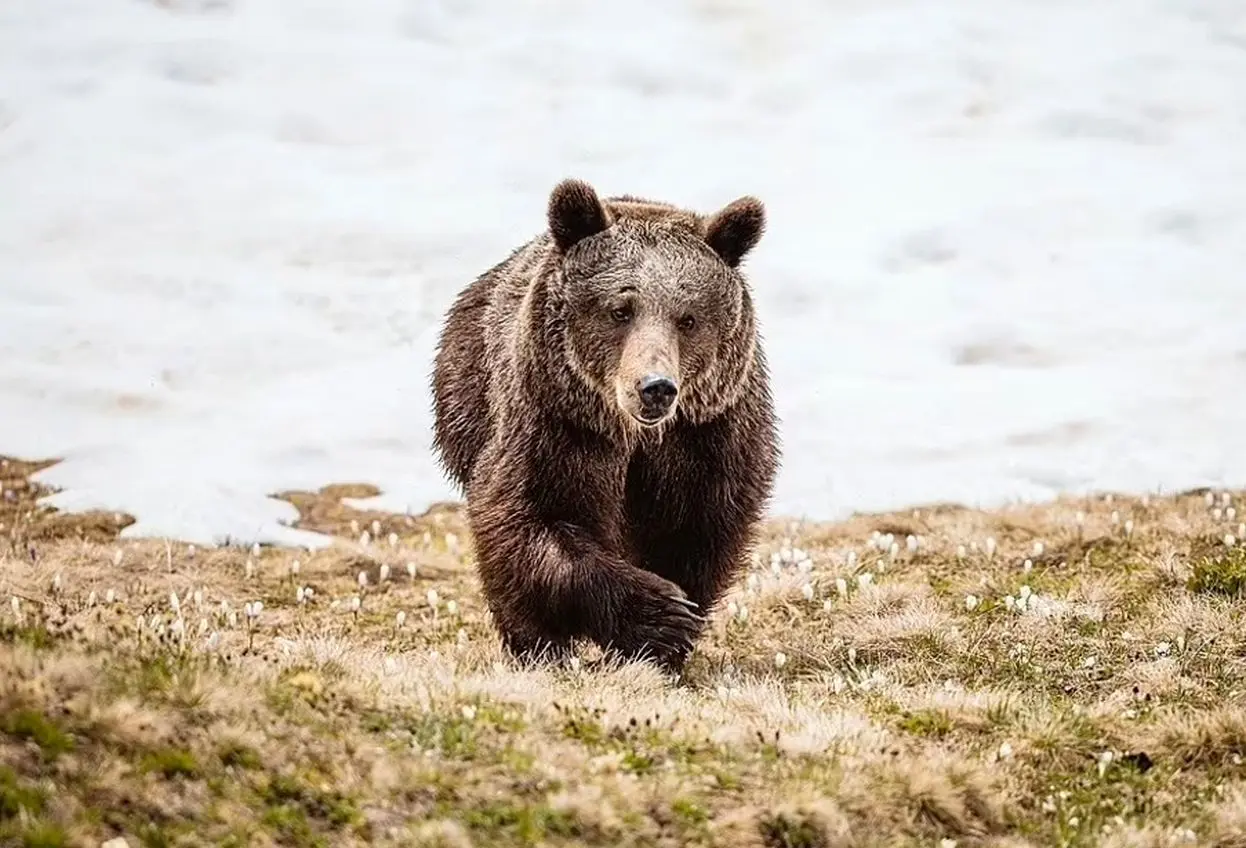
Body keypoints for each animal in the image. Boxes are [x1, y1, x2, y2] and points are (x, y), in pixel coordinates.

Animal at [428, 178, 777, 672]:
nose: (655, 387)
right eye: (620, 309)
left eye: (688, 317)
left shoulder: (707, 440)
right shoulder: (557, 426)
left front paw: (667, 641)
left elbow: (694, 533)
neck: (636, 437)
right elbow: (533, 521)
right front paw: (661, 614)